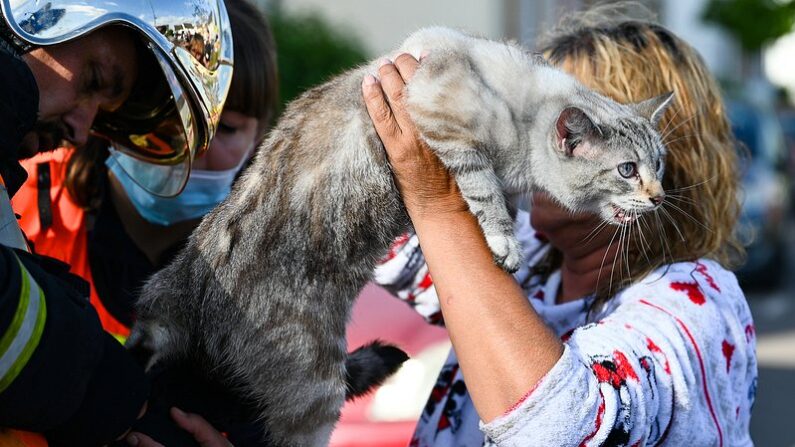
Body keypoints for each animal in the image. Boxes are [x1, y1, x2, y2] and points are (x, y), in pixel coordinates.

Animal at [131, 28, 672, 447]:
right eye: (627, 170)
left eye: (659, 163)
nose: (660, 196)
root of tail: (185, 293)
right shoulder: (450, 128)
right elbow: (486, 195)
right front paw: (505, 243)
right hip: (314, 397)